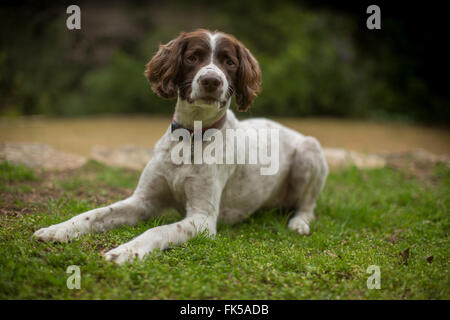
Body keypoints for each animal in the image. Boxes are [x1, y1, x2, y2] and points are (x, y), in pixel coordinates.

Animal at [31, 29, 326, 264]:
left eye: (229, 62)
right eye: (193, 57)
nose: (211, 81)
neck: (190, 137)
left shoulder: (202, 218)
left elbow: (158, 230)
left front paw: (127, 251)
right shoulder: (142, 202)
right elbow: (94, 214)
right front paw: (59, 229)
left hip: (310, 148)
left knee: (308, 207)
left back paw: (298, 223)